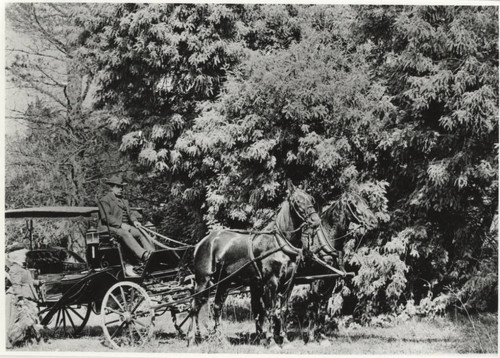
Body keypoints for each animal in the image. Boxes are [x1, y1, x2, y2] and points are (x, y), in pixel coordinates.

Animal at [187, 183, 320, 346]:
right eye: (297, 201)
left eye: (311, 199)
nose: (315, 221)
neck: (279, 243)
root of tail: (201, 243)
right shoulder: (271, 283)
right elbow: (270, 310)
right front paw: (271, 341)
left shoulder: (288, 284)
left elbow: (283, 311)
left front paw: (284, 339)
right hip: (203, 281)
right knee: (194, 307)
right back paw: (192, 338)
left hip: (224, 283)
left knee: (216, 307)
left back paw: (221, 340)